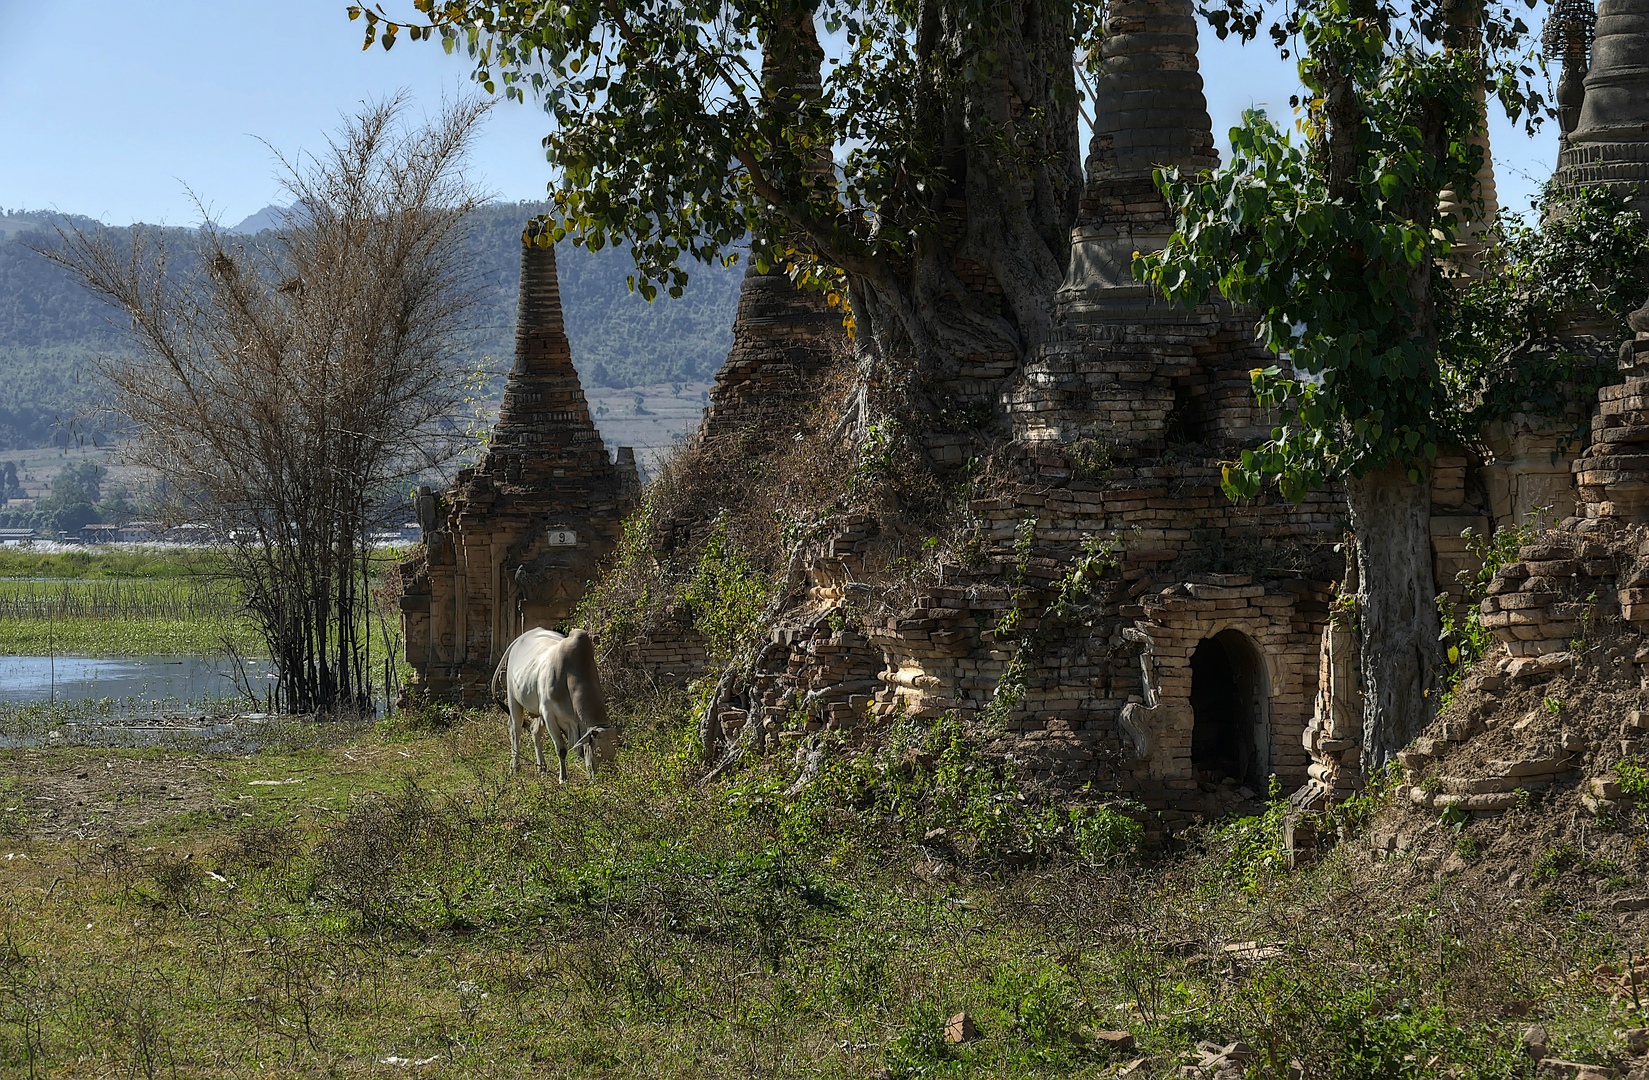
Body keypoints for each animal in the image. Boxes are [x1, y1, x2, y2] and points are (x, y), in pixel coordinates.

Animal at [494, 626, 620, 784]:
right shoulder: (549, 714)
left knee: (535, 731)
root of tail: (520, 639)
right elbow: (561, 749)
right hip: (513, 699)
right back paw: (515, 768)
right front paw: (563, 779)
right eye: (596, 752)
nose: (605, 779)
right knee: (515, 731)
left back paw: (542, 769)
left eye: (614, 754)